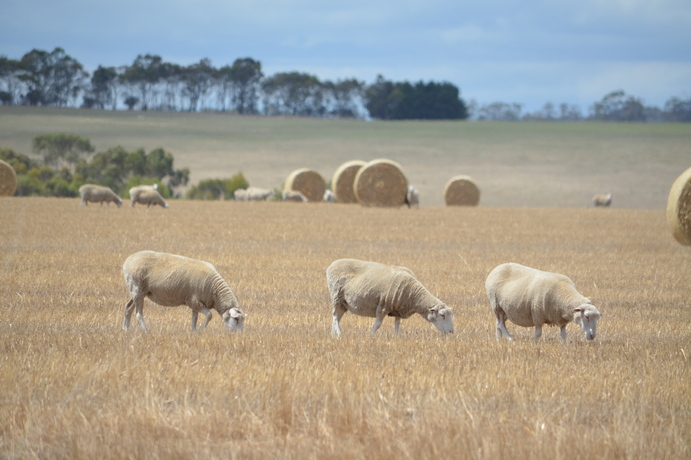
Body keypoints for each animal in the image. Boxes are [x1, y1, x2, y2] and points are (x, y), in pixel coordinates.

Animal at [328, 258, 456, 338]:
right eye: (442, 315)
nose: (451, 332)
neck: (413, 295)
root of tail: (331, 265)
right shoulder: (383, 306)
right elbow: (377, 325)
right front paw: (371, 335)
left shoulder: (398, 309)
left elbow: (397, 325)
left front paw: (396, 337)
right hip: (337, 297)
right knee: (335, 316)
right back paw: (339, 334)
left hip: (343, 303)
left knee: (337, 317)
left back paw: (333, 334)